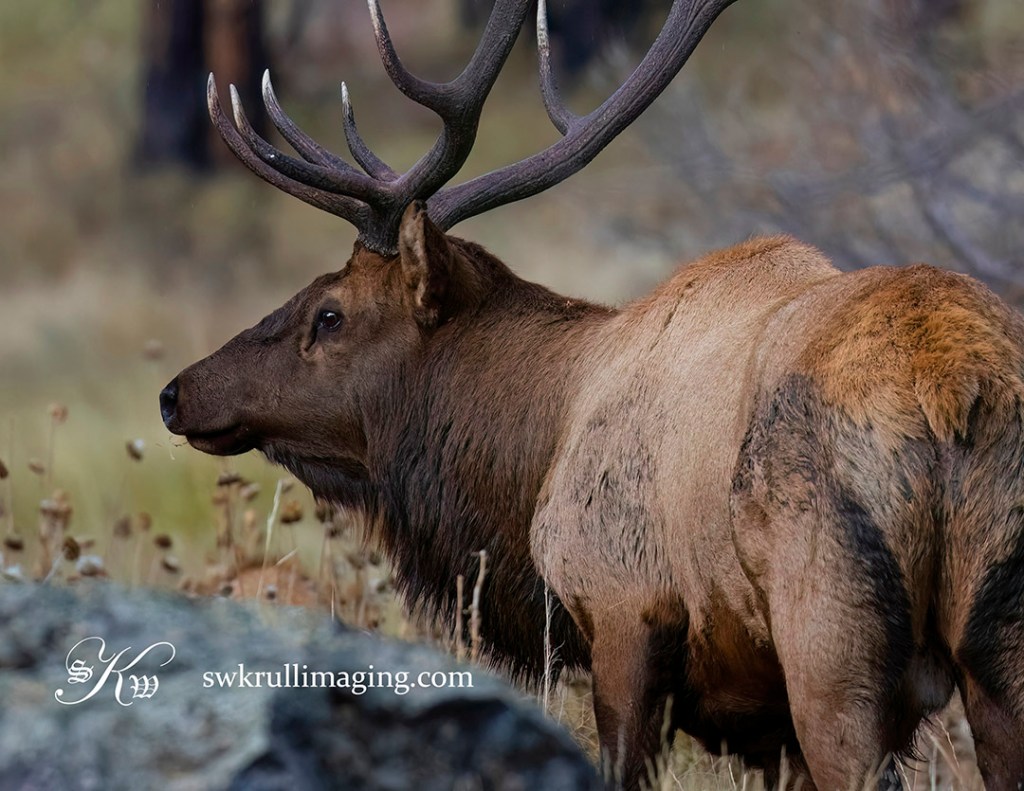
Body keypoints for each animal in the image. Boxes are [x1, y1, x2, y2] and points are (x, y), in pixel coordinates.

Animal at [159, 0, 1024, 788]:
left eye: (329, 313)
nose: (176, 392)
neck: (536, 451)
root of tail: (952, 386)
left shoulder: (620, 610)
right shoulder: (762, 720)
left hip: (831, 638)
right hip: (998, 642)